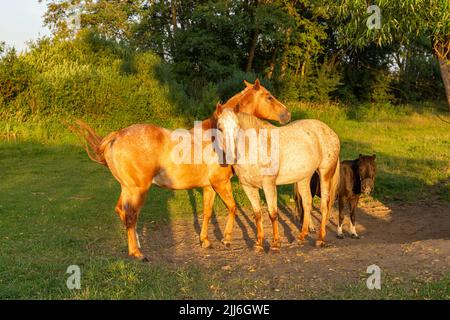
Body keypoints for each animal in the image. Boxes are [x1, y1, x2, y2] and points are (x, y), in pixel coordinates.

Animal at [68, 79, 290, 260]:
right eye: (269, 96)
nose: (287, 114)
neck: (216, 136)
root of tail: (116, 136)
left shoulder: (208, 187)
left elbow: (207, 212)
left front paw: (205, 241)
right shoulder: (221, 183)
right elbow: (233, 208)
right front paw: (226, 239)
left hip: (127, 188)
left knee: (122, 212)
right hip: (137, 189)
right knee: (130, 215)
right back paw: (137, 253)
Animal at [216, 107, 340, 250]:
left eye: (237, 127)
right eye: (219, 127)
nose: (230, 157)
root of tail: (331, 132)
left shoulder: (268, 185)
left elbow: (273, 213)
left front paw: (275, 243)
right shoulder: (248, 187)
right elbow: (257, 215)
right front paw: (259, 244)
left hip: (325, 175)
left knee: (324, 206)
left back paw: (320, 239)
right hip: (303, 179)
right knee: (307, 203)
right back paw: (301, 237)